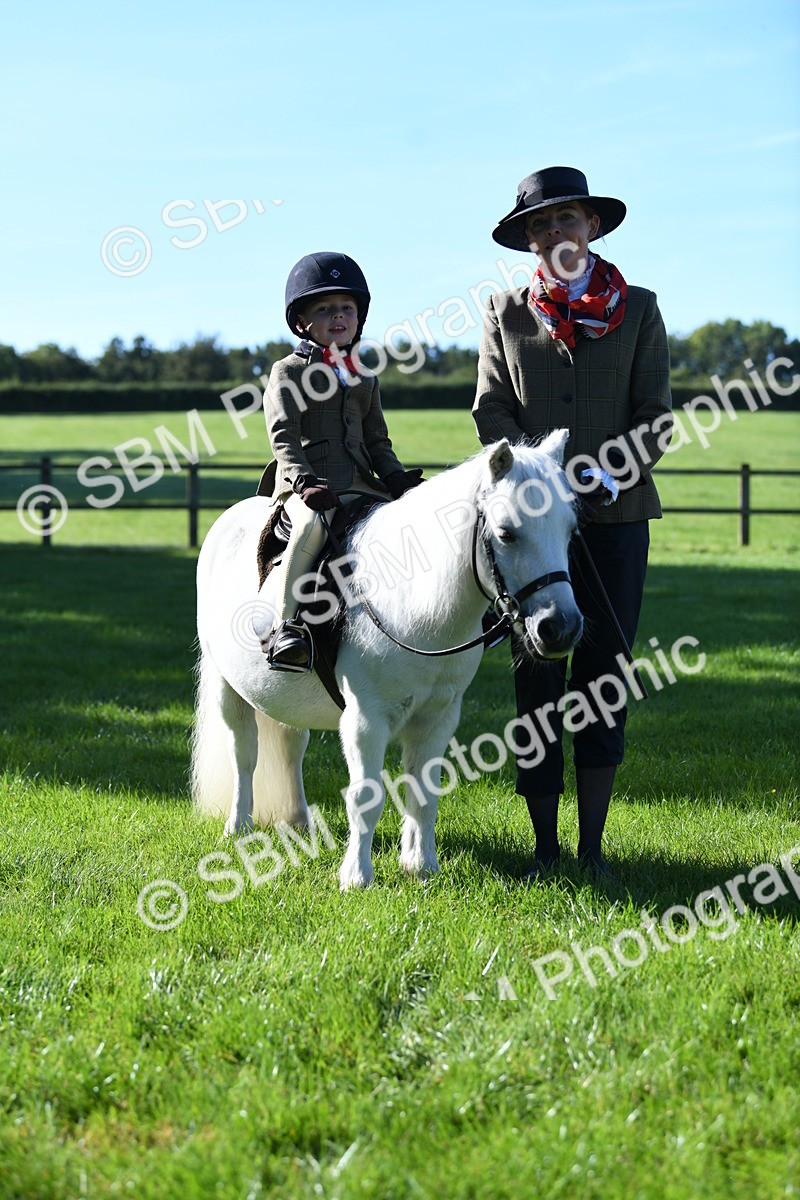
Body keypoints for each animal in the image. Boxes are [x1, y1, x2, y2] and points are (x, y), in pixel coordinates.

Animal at [191, 429, 583, 889]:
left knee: (290, 746)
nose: (561, 627)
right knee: (244, 754)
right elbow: (365, 796)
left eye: (570, 531)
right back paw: (239, 826)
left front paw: (421, 866)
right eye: (506, 533)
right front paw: (357, 876)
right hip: (226, 687)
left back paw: (300, 821)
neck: (412, 601)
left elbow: (425, 791)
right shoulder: (366, 719)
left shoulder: (438, 716)